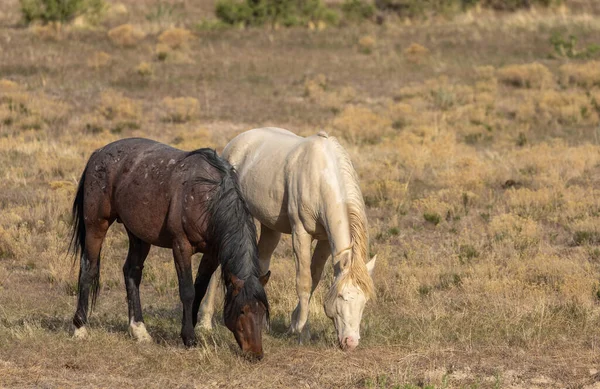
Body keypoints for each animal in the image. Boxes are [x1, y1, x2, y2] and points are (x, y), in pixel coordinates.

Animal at [68, 138, 272, 360]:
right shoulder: (181, 246)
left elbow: (199, 289)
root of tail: (98, 153)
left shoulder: (212, 253)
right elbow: (188, 291)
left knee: (131, 273)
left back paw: (139, 330)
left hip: (139, 236)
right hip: (97, 225)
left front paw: (189, 329)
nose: (256, 353)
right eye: (242, 310)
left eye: (262, 311)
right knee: (89, 268)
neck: (207, 197)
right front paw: (189, 337)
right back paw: (80, 328)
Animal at [198, 128, 376, 352]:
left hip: (270, 227)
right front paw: (301, 331)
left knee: (262, 261)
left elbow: (314, 277)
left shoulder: (325, 241)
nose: (351, 342)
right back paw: (204, 323)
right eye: (342, 296)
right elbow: (304, 281)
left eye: (365, 301)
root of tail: (234, 143)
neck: (320, 176)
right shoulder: (300, 232)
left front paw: (293, 323)